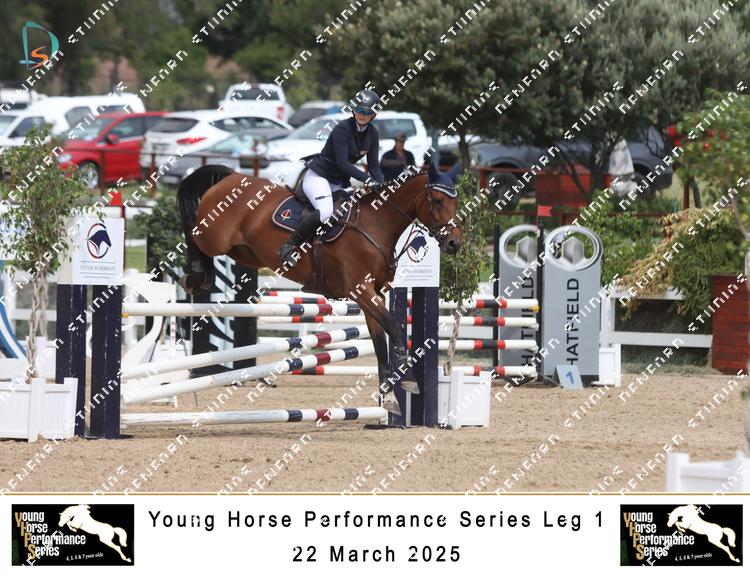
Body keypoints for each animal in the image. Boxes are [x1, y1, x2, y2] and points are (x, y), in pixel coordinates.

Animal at [176, 162, 463, 416]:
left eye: (457, 202)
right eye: (437, 201)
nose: (454, 243)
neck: (376, 224)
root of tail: (232, 176)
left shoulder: (374, 295)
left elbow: (380, 341)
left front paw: (389, 397)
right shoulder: (362, 291)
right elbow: (394, 326)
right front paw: (409, 379)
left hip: (245, 253)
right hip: (214, 238)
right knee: (193, 234)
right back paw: (194, 277)